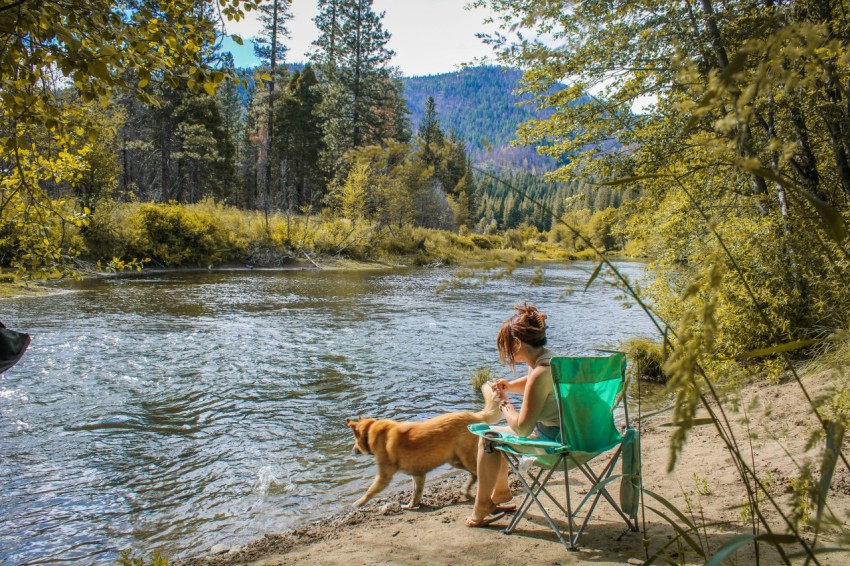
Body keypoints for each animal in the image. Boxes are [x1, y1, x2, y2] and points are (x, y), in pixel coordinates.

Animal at [348, 386, 500, 510]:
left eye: (354, 441)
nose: (353, 450)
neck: (370, 432)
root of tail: (474, 415)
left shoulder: (384, 477)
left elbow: (369, 492)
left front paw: (357, 503)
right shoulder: (418, 474)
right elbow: (417, 493)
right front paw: (411, 505)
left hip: (465, 457)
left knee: (480, 473)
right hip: (455, 460)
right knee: (474, 475)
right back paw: (466, 491)